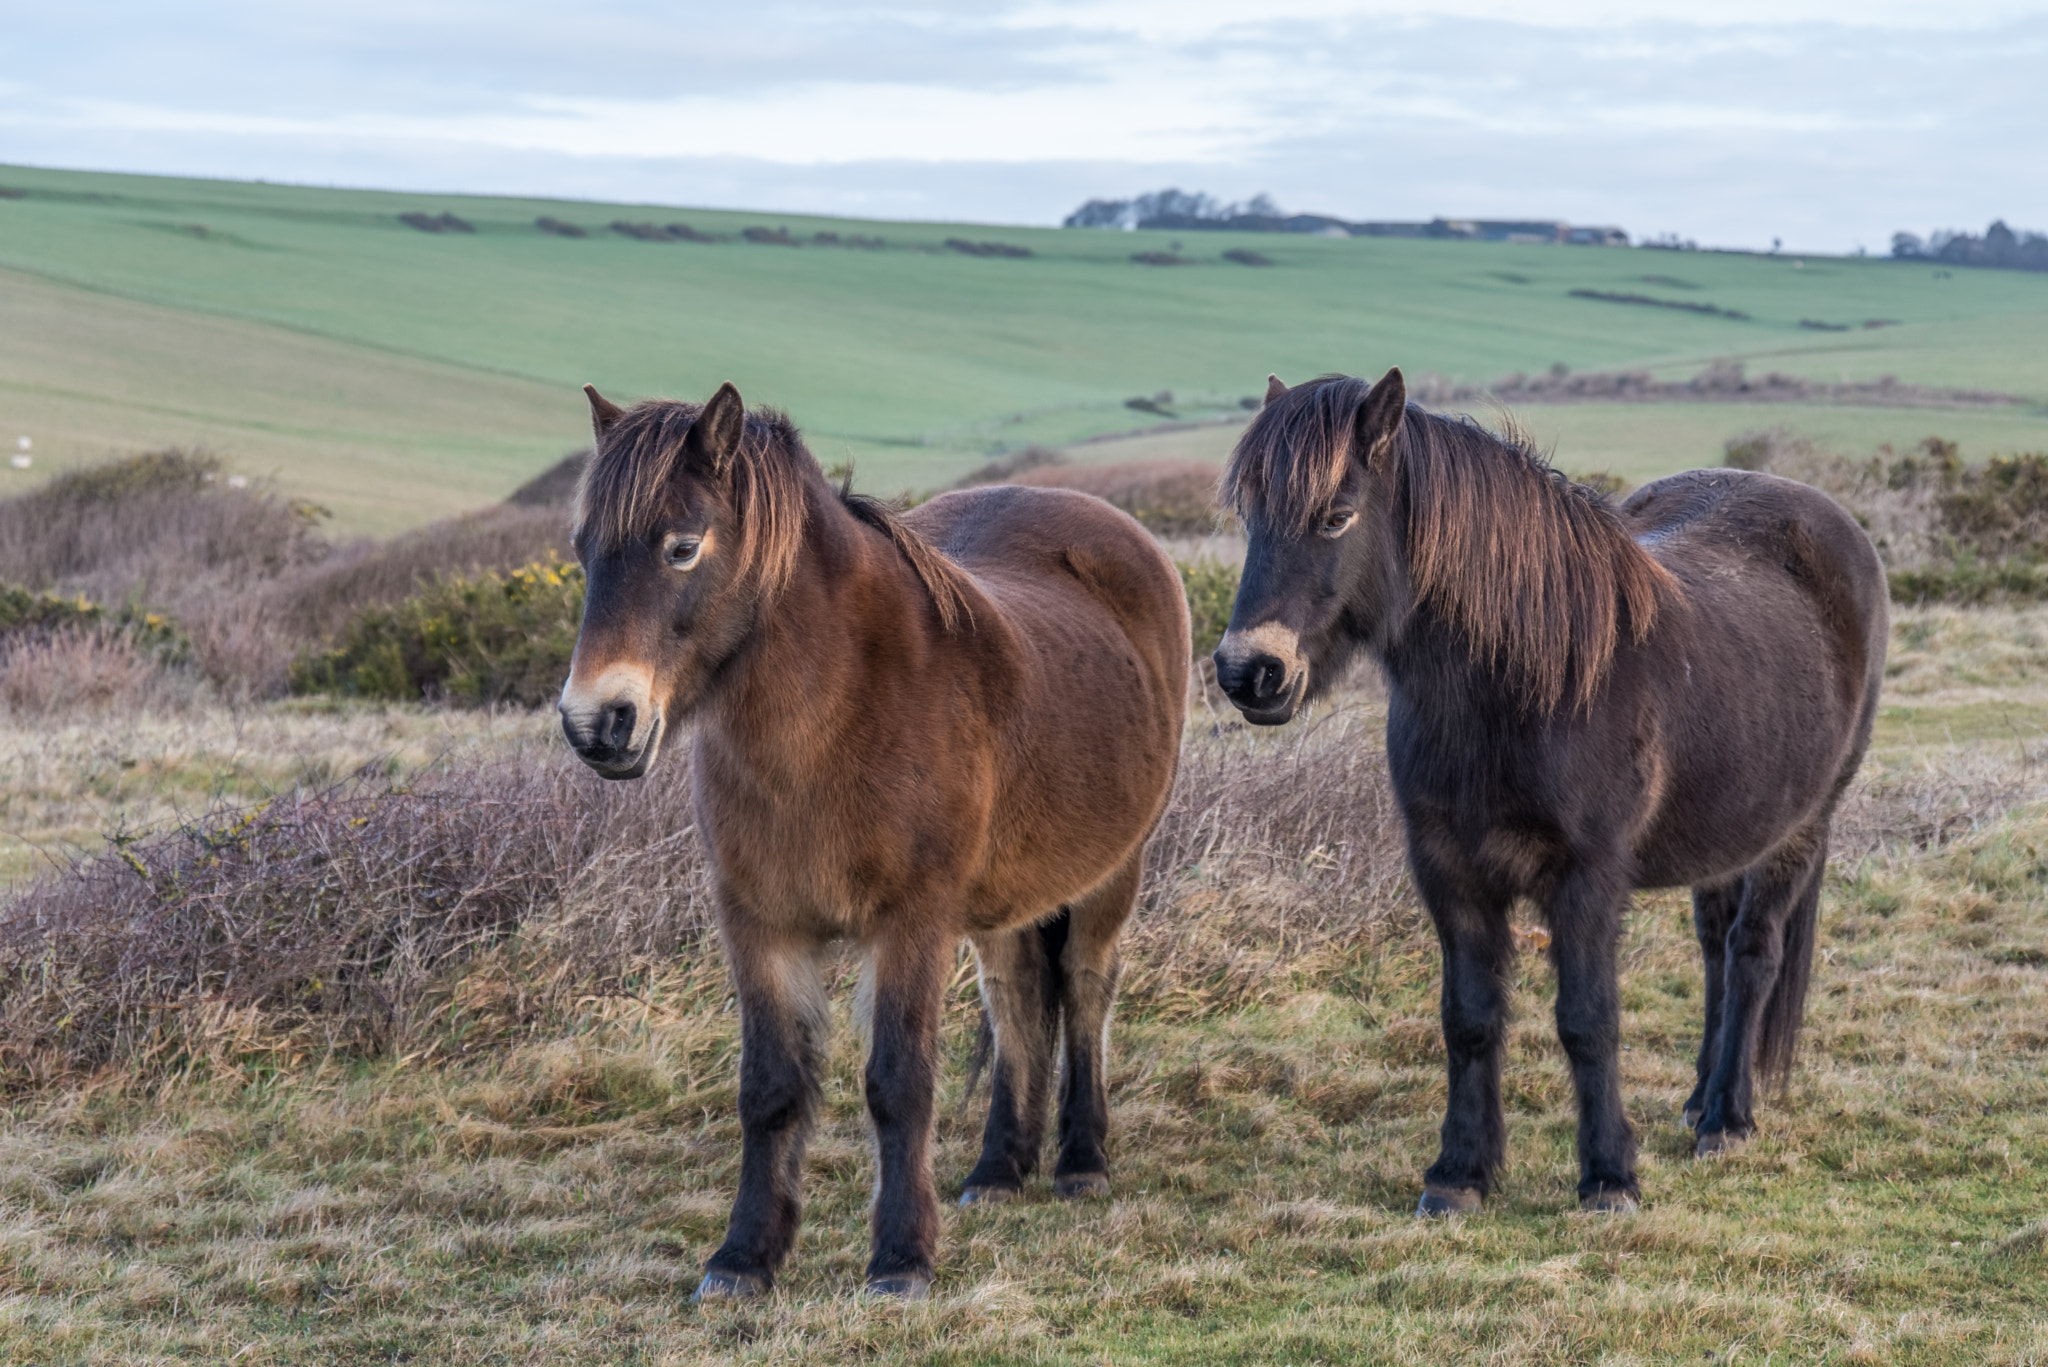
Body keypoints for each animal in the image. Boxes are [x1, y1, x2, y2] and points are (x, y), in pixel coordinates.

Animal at [558, 382, 1189, 1298]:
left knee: (1084, 988)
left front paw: (900, 1257)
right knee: (1017, 1000)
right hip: (1005, 902)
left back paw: (1081, 1160)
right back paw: (998, 1169)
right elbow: (770, 1088)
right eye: (583, 549)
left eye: (682, 547)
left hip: (1111, 874)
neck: (837, 717)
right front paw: (743, 1256)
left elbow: (899, 1083)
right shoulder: (758, 925)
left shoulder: (910, 925)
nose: (596, 723)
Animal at [1213, 369, 1885, 1214]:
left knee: (1752, 955)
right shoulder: (1448, 871)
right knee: (1714, 953)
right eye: (1252, 515)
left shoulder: (1588, 879)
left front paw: (1608, 1176)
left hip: (1798, 830)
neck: (1523, 687)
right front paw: (1458, 1173)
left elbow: (1586, 1020)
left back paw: (1727, 1118)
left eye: (1337, 514)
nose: (1248, 671)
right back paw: (1698, 1101)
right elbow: (1468, 1018)